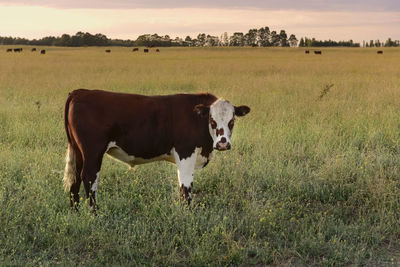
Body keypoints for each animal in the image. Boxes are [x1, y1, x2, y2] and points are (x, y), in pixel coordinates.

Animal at [62, 89, 250, 210]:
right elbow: (186, 187)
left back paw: (75, 211)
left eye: (232, 121)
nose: (223, 144)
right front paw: (187, 214)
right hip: (93, 151)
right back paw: (95, 213)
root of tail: (80, 92)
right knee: (89, 178)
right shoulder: (185, 152)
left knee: (75, 177)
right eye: (212, 120)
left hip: (78, 150)